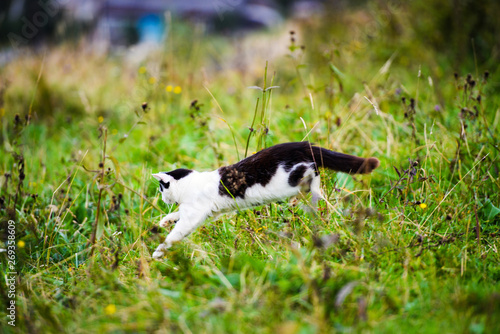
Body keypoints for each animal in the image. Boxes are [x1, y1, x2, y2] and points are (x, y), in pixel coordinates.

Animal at [152, 141, 378, 258]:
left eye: (161, 189)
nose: (162, 199)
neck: (191, 184)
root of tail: (301, 144)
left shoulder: (194, 213)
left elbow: (176, 233)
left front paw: (158, 252)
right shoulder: (209, 212)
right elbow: (178, 215)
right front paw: (165, 220)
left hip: (289, 178)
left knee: (312, 172)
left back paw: (311, 189)